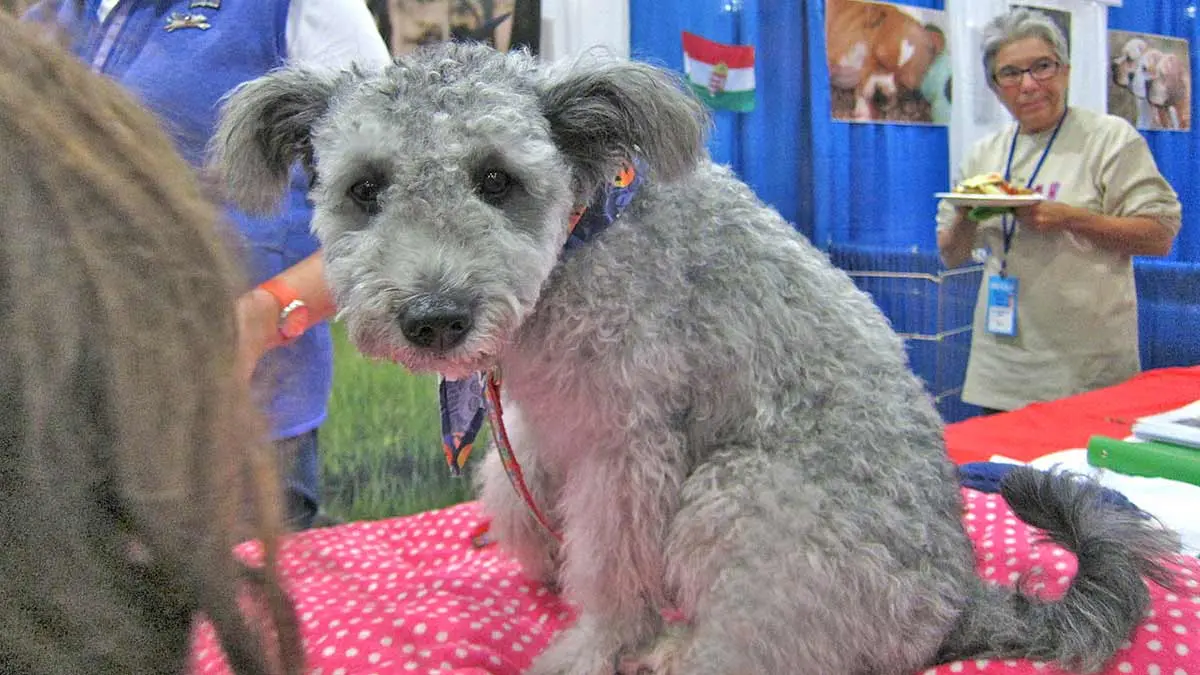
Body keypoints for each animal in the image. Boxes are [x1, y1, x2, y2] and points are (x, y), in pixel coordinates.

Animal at [211, 43, 1176, 672]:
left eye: (496, 179)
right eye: (365, 188)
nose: (435, 319)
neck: (580, 242)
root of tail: (956, 596)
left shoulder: (629, 447)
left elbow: (612, 566)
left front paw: (595, 643)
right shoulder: (541, 421)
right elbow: (515, 494)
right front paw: (531, 546)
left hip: (740, 493)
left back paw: (676, 648)